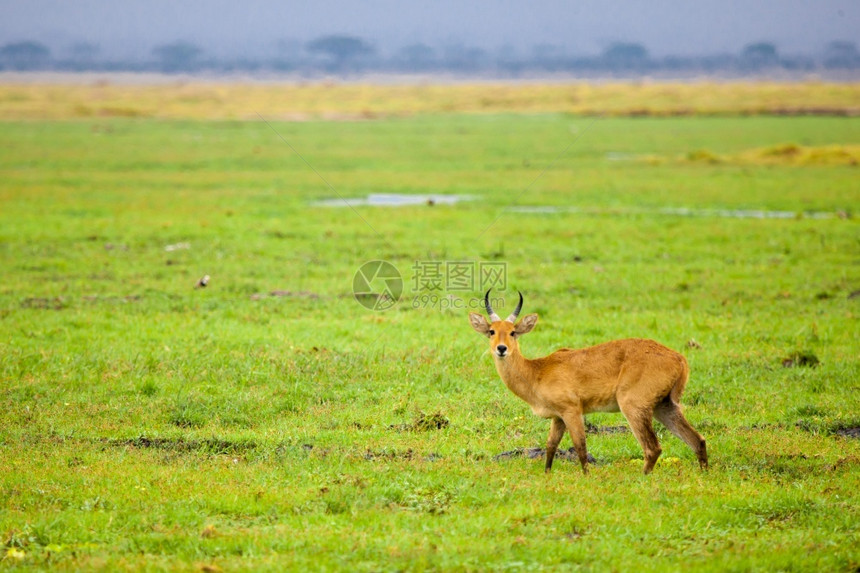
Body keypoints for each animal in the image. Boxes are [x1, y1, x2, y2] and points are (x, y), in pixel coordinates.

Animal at [470, 290, 704, 474]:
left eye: (513, 332)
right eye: (491, 331)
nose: (501, 349)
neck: (537, 371)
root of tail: (678, 358)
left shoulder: (572, 410)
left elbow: (580, 446)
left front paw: (586, 476)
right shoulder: (558, 417)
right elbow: (550, 446)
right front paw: (547, 474)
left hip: (634, 407)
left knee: (653, 448)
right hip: (664, 406)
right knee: (697, 440)